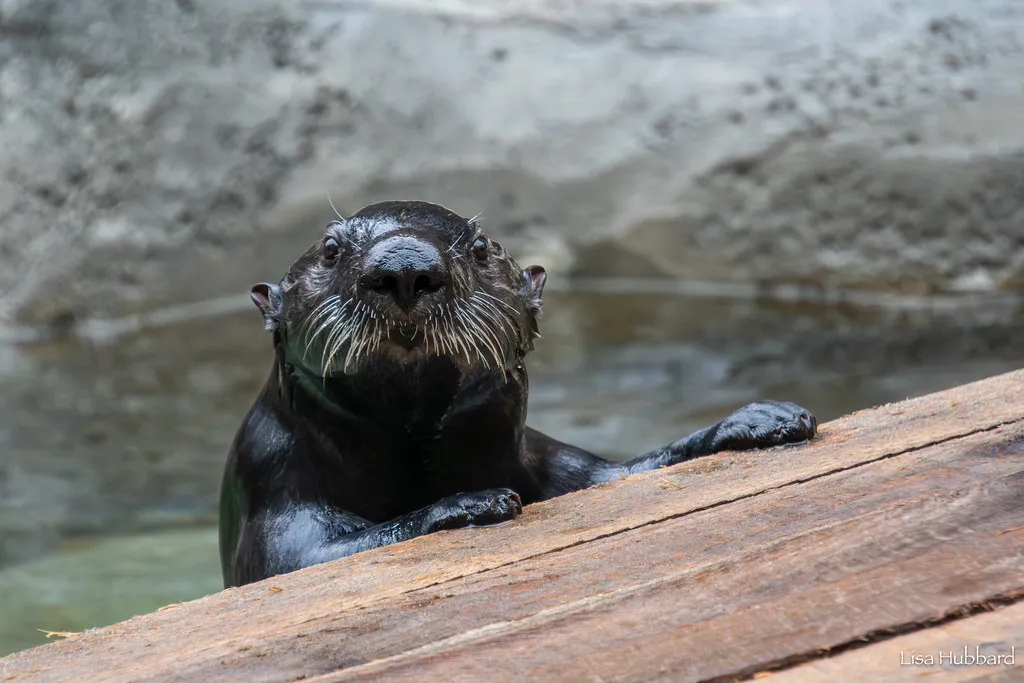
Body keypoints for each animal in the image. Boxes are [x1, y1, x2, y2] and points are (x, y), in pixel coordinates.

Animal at [219, 200, 817, 587]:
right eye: (330, 248)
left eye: (481, 248)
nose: (404, 268)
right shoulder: (273, 478)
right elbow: (300, 558)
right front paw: (468, 503)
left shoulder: (548, 460)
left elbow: (624, 473)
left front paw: (758, 421)